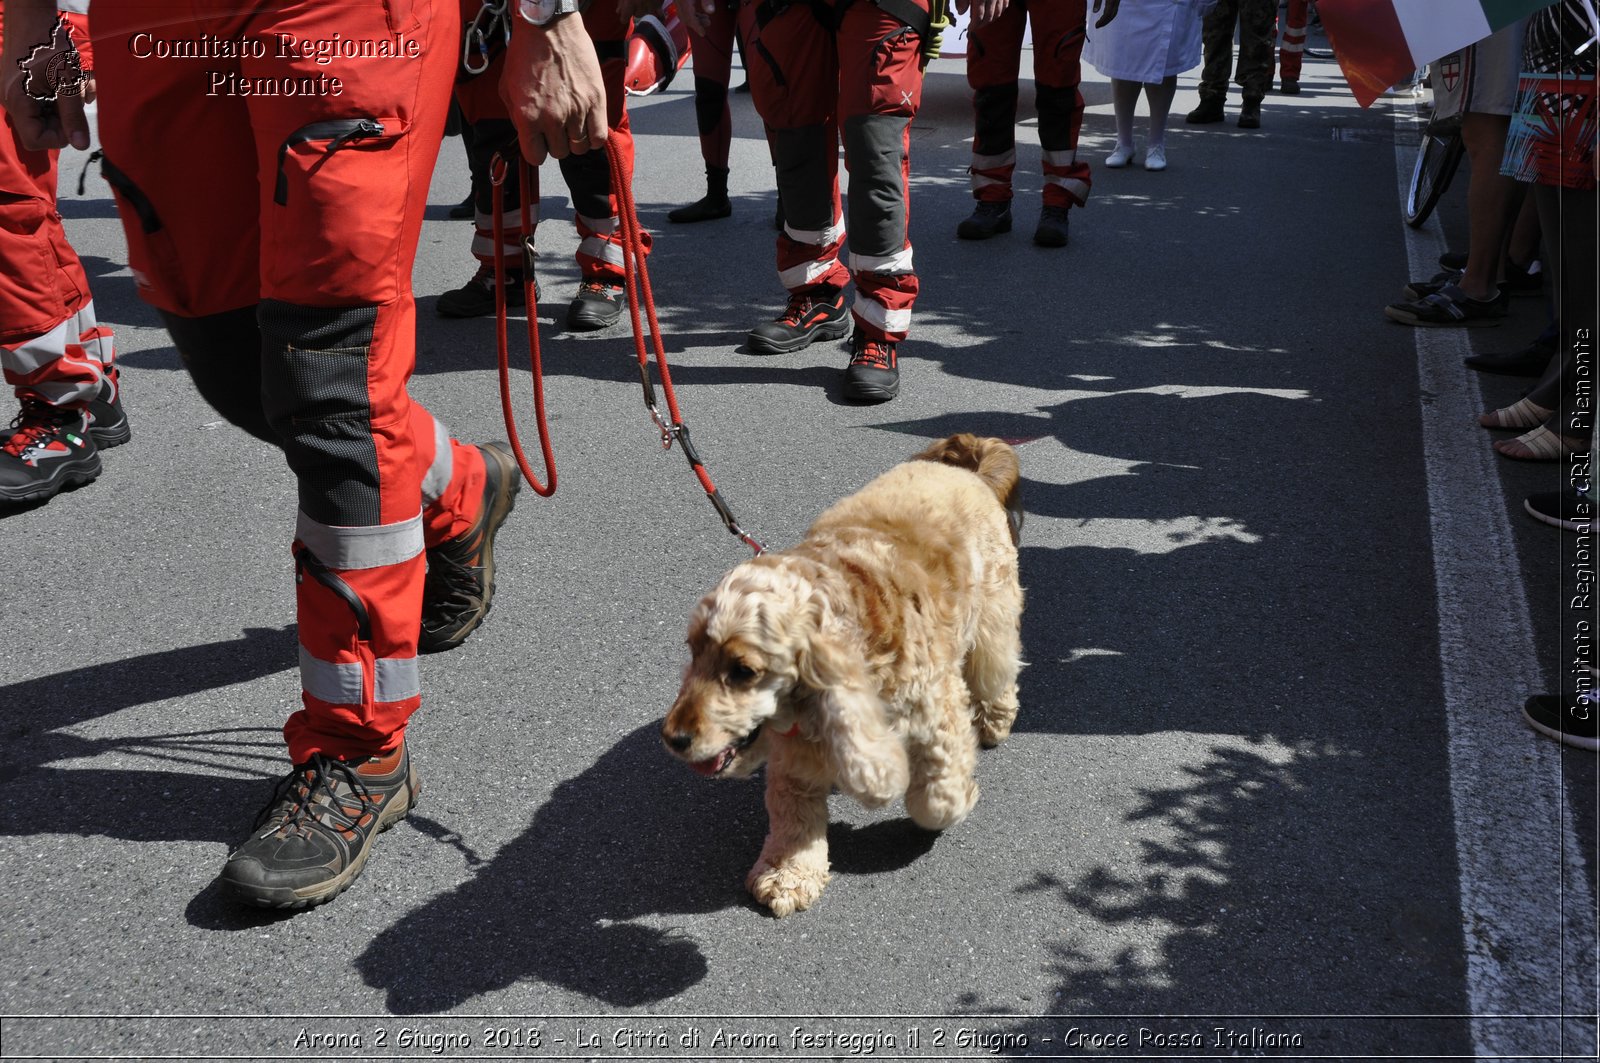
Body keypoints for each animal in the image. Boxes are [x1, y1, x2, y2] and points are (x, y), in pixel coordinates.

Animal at [659, 432, 1024, 915]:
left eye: (743, 670)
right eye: (693, 651)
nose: (674, 738)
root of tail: (967, 465)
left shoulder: (936, 714)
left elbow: (936, 799)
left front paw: (958, 796)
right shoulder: (796, 753)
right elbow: (793, 815)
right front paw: (788, 874)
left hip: (993, 611)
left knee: (995, 669)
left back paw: (994, 720)